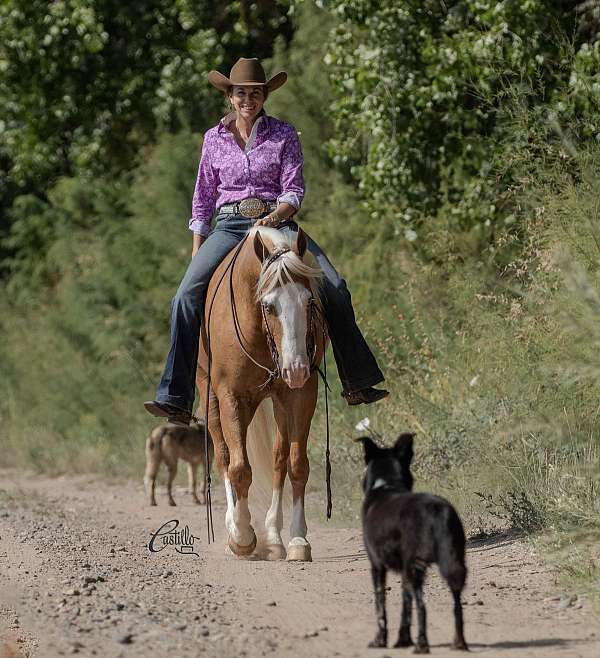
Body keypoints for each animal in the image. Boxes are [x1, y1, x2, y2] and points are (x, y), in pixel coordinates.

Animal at [196, 226, 326, 560]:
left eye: (309, 302)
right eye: (268, 306)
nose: (296, 368)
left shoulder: (302, 394)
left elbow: (296, 464)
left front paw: (298, 541)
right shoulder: (230, 396)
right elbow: (239, 467)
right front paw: (242, 537)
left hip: (278, 401)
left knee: (279, 459)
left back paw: (274, 537)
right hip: (210, 396)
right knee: (224, 457)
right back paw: (235, 528)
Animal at [358, 430, 466, 652]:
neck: (387, 485)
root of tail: (437, 510)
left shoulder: (377, 566)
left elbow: (381, 607)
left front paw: (380, 641)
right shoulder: (404, 571)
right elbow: (405, 606)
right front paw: (403, 639)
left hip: (416, 568)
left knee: (422, 606)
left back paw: (422, 645)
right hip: (452, 563)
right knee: (456, 605)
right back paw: (458, 643)